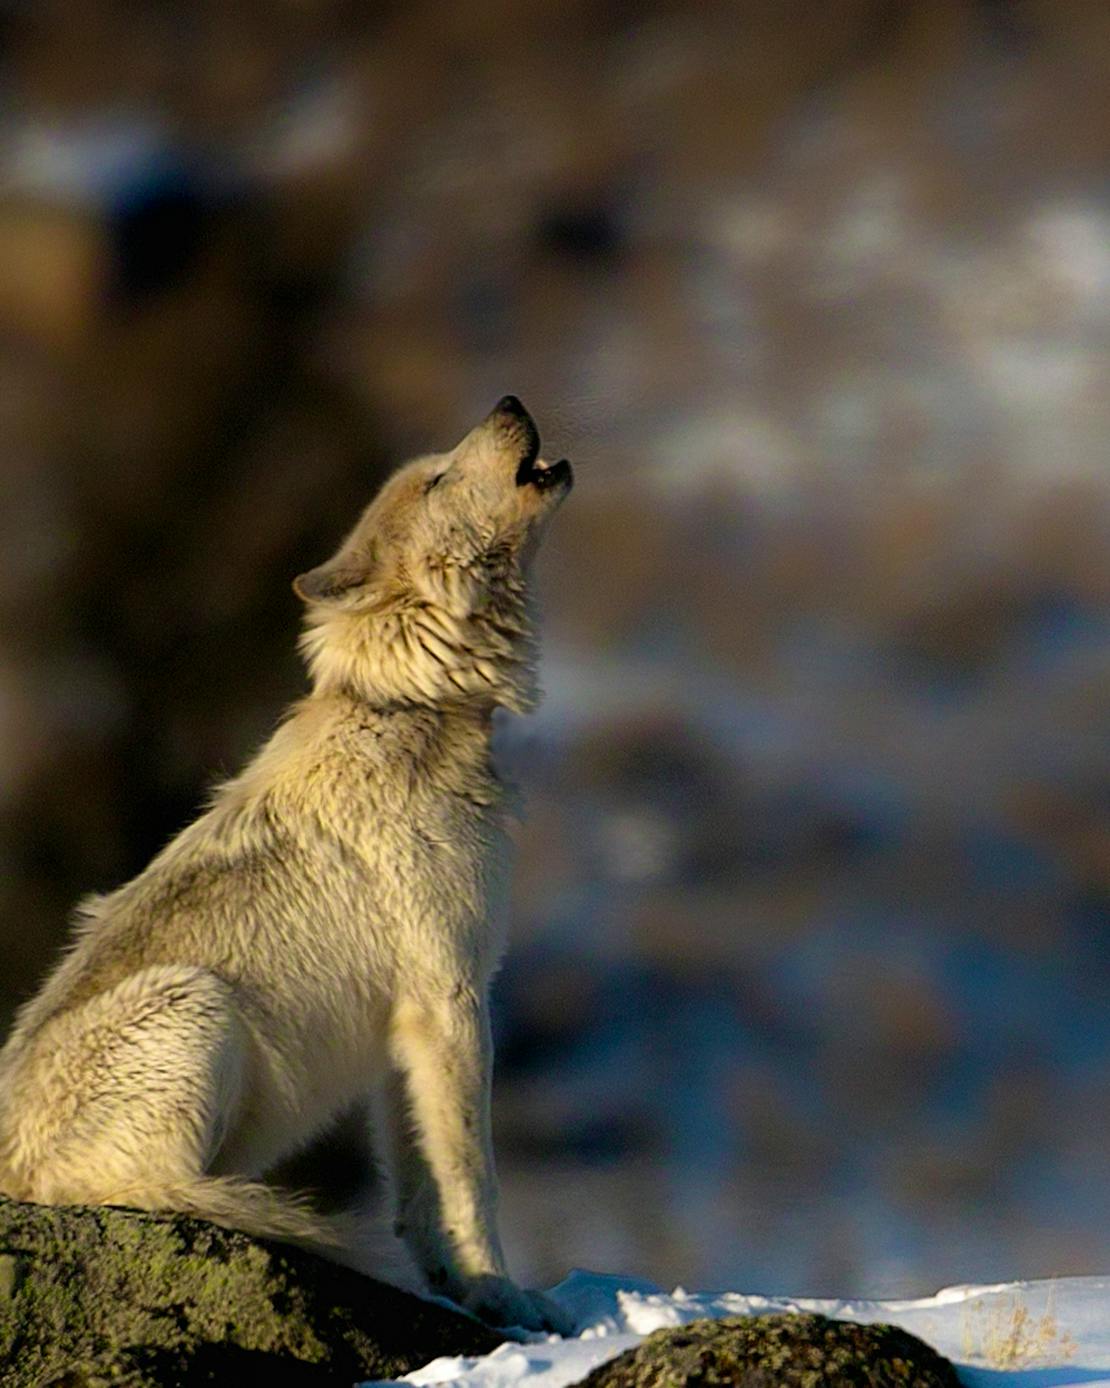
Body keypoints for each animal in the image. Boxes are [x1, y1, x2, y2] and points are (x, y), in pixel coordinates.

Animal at [0, 399, 577, 1332]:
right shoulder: (452, 996)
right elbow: (472, 1175)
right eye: (438, 478)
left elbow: (421, 1188)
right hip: (197, 1000)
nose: (510, 403)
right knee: (143, 1190)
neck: (410, 709)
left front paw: (460, 1290)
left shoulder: (408, 1029)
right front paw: (507, 1297)